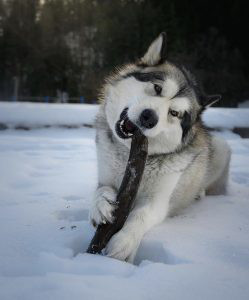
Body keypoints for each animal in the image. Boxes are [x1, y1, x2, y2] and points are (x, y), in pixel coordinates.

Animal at [88, 32, 231, 262]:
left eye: (174, 113)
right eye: (157, 88)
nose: (149, 117)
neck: (127, 154)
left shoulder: (158, 202)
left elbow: (140, 215)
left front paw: (123, 243)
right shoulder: (106, 178)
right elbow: (101, 190)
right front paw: (101, 206)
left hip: (220, 147)